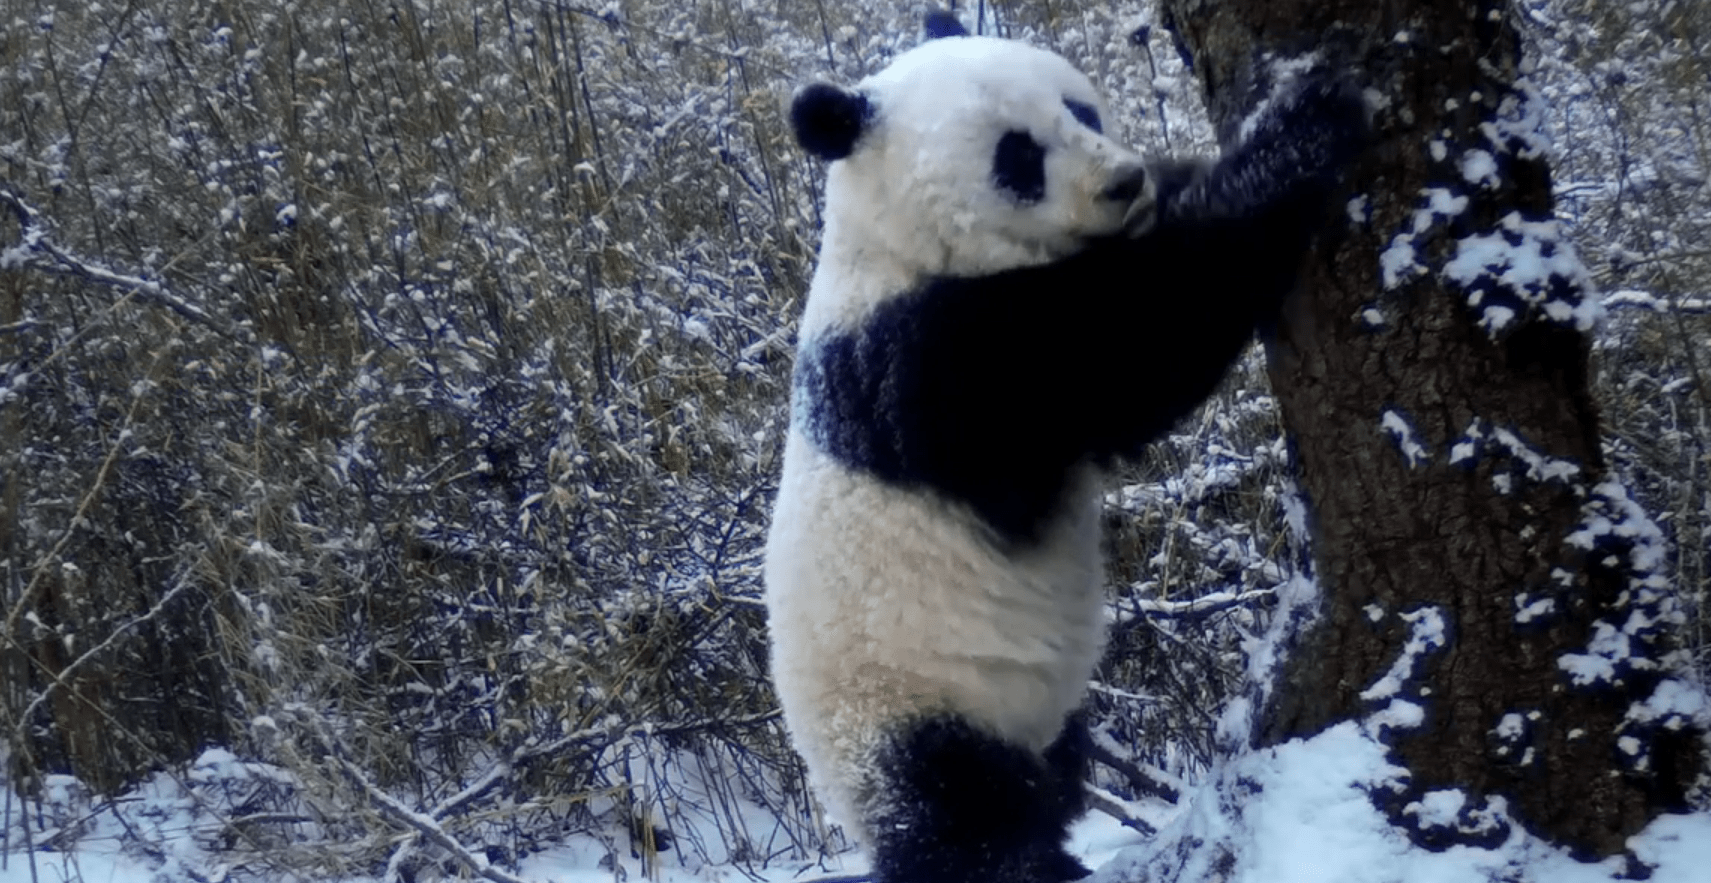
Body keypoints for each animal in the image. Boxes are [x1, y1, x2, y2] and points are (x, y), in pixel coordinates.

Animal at [763, 12, 1361, 883]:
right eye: (1017, 156)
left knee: (1057, 766)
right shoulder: (932, 365)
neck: (893, 243)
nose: (1122, 182)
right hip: (904, 703)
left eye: (1078, 108)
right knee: (962, 813)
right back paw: (1027, 858)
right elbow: (1130, 347)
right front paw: (1300, 130)